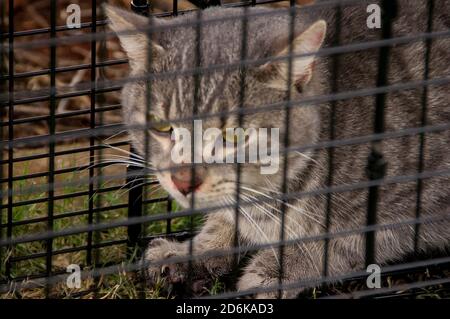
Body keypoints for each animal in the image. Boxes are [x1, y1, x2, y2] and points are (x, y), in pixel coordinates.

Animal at [103, 0, 448, 300]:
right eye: (162, 126)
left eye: (234, 135)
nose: (183, 181)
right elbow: (225, 220)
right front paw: (196, 251)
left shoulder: (413, 199)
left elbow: (343, 238)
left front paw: (280, 267)